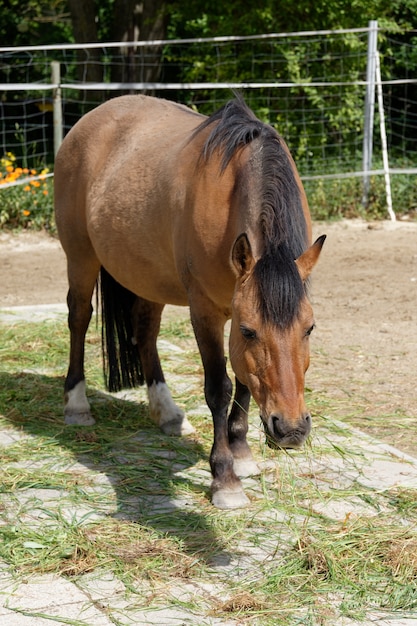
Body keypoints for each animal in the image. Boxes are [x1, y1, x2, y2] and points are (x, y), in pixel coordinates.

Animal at [53, 95, 324, 510]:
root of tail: (89, 120)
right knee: (79, 319)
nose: (291, 429)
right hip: (80, 257)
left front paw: (242, 453)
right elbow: (219, 387)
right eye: (250, 331)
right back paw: (77, 405)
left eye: (309, 328)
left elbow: (245, 381)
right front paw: (225, 478)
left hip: (148, 278)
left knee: (145, 331)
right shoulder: (208, 312)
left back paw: (166, 412)